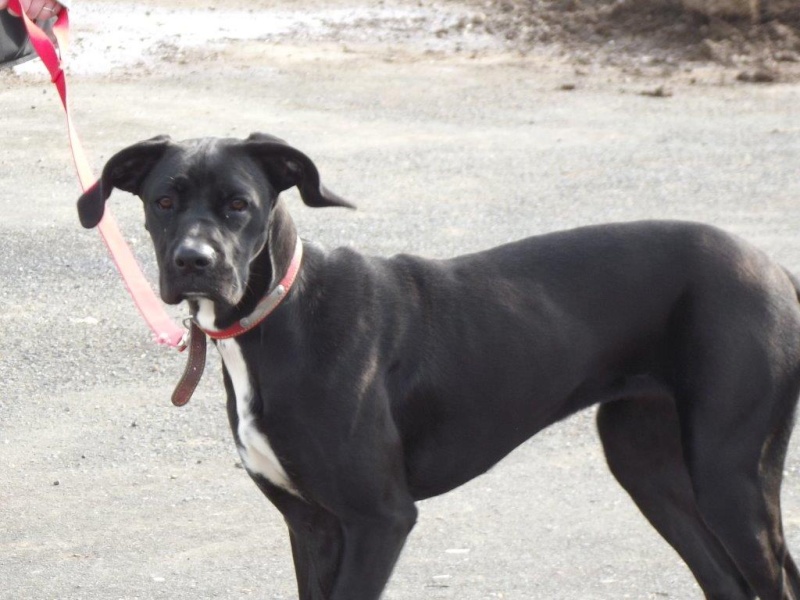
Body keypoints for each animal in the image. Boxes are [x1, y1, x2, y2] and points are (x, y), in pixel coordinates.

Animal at [77, 133, 800, 600]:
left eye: (239, 204)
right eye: (164, 201)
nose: (193, 262)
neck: (284, 318)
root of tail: (775, 269)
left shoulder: (380, 518)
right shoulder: (312, 525)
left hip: (730, 472)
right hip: (646, 462)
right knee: (724, 581)